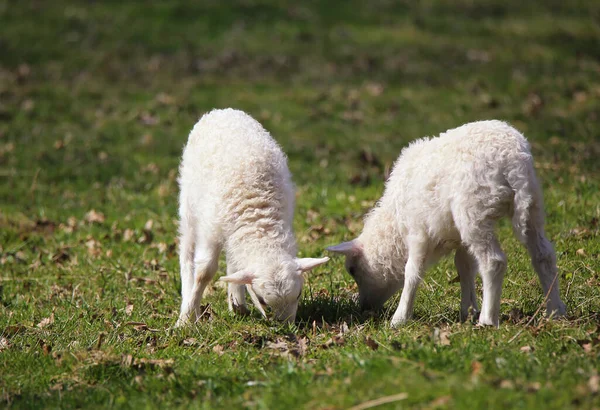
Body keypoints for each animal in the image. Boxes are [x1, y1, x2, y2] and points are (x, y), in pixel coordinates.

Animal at [176, 109, 330, 326]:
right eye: (262, 300)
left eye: (299, 294)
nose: (286, 328)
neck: (258, 219)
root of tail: (221, 111)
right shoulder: (210, 230)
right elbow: (204, 272)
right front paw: (186, 318)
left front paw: (236, 303)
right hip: (189, 203)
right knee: (187, 252)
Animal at [328, 119, 568, 326]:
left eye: (352, 270)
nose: (364, 308)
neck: (394, 223)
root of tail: (511, 160)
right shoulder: (458, 236)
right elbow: (465, 267)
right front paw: (468, 309)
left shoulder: (418, 230)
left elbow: (412, 271)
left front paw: (400, 317)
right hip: (531, 204)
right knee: (543, 255)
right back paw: (555, 311)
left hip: (473, 210)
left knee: (493, 261)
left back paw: (488, 320)